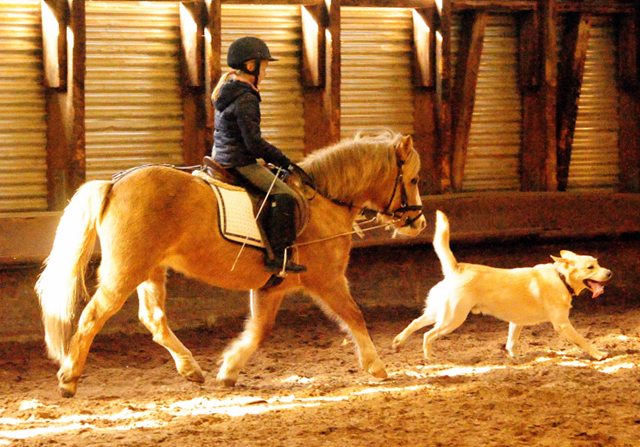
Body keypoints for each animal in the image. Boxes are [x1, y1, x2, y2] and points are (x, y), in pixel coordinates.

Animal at [35, 130, 424, 400]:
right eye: (414, 179)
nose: (418, 222)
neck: (325, 201)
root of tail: (115, 184)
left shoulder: (272, 287)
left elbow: (259, 330)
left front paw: (228, 370)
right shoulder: (328, 280)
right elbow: (355, 315)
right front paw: (377, 366)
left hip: (150, 270)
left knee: (154, 319)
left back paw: (191, 370)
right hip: (126, 271)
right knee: (93, 316)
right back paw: (69, 379)